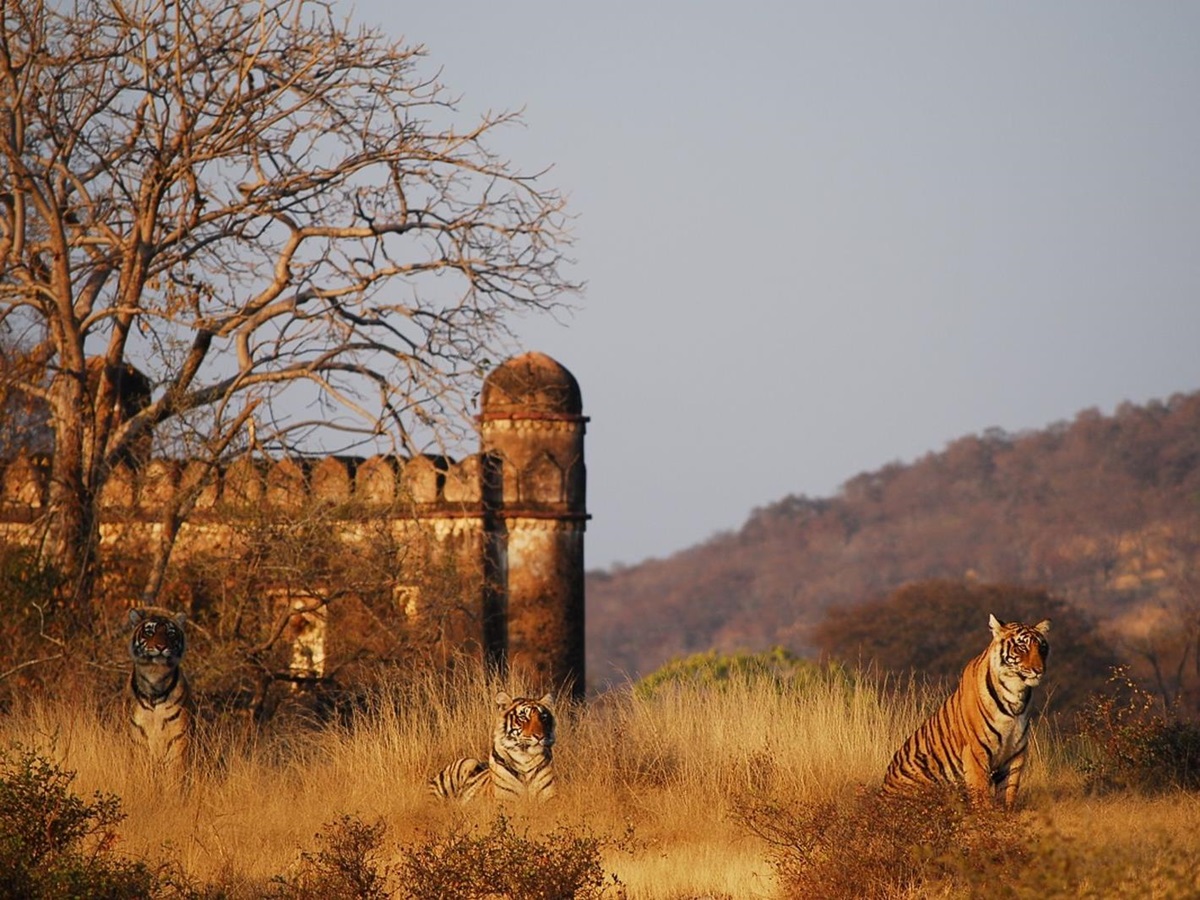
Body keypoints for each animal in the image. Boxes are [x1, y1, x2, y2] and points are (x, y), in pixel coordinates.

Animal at [127, 607, 194, 777]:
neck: (155, 677)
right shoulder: (138, 735)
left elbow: (175, 771)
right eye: (149, 632)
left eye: (170, 633)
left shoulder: (178, 736)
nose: (161, 647)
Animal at [429, 691, 557, 803]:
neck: (525, 759)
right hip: (465, 764)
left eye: (543, 717)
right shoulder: (505, 801)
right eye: (523, 717)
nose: (540, 736)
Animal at [882, 613, 1051, 808]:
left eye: (1042, 648)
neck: (1016, 693)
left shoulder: (1015, 752)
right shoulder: (976, 750)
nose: (1039, 671)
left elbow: (1009, 792)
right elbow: (981, 793)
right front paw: (985, 815)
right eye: (1022, 647)